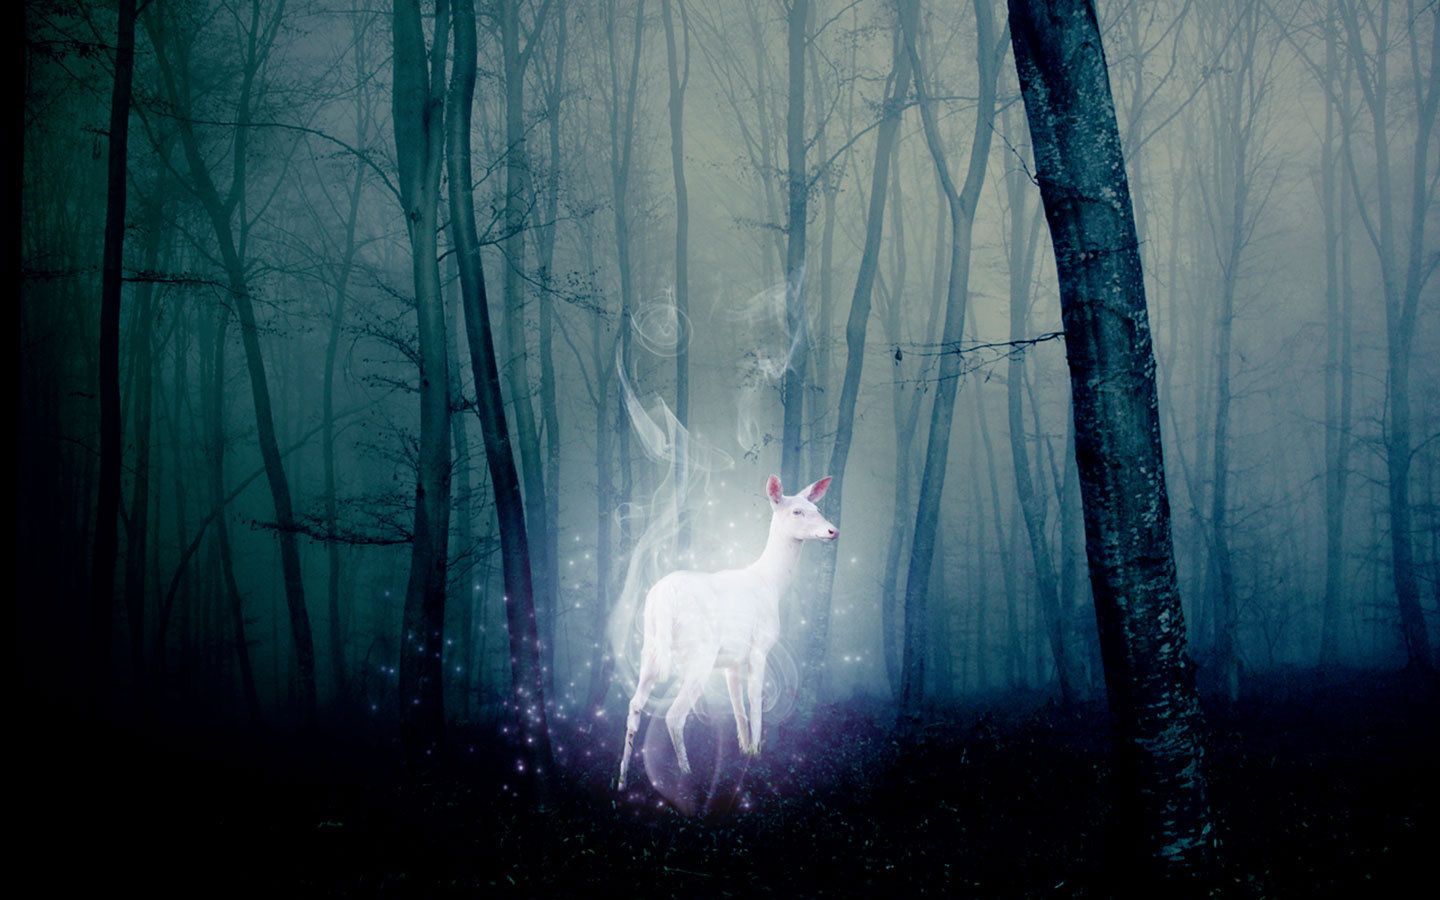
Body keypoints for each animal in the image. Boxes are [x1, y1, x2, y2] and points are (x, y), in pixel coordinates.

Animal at [616, 474, 838, 790]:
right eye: (797, 511)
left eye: (816, 508)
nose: (833, 530)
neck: (772, 585)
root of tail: (663, 599)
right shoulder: (759, 646)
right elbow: (755, 701)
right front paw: (756, 755)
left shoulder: (731, 661)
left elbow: (737, 706)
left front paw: (744, 749)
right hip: (700, 652)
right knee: (674, 715)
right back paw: (687, 775)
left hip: (650, 649)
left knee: (634, 706)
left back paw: (622, 779)